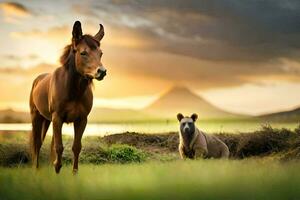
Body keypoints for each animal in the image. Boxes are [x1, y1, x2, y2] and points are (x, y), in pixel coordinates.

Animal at [29, 20, 106, 173]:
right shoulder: (58, 117)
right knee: (37, 143)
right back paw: (36, 168)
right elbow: (59, 146)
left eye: (100, 53)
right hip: (37, 117)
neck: (73, 91)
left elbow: (76, 147)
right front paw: (57, 167)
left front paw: (73, 172)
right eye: (83, 52)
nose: (102, 71)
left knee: (49, 143)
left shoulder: (81, 120)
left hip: (48, 120)